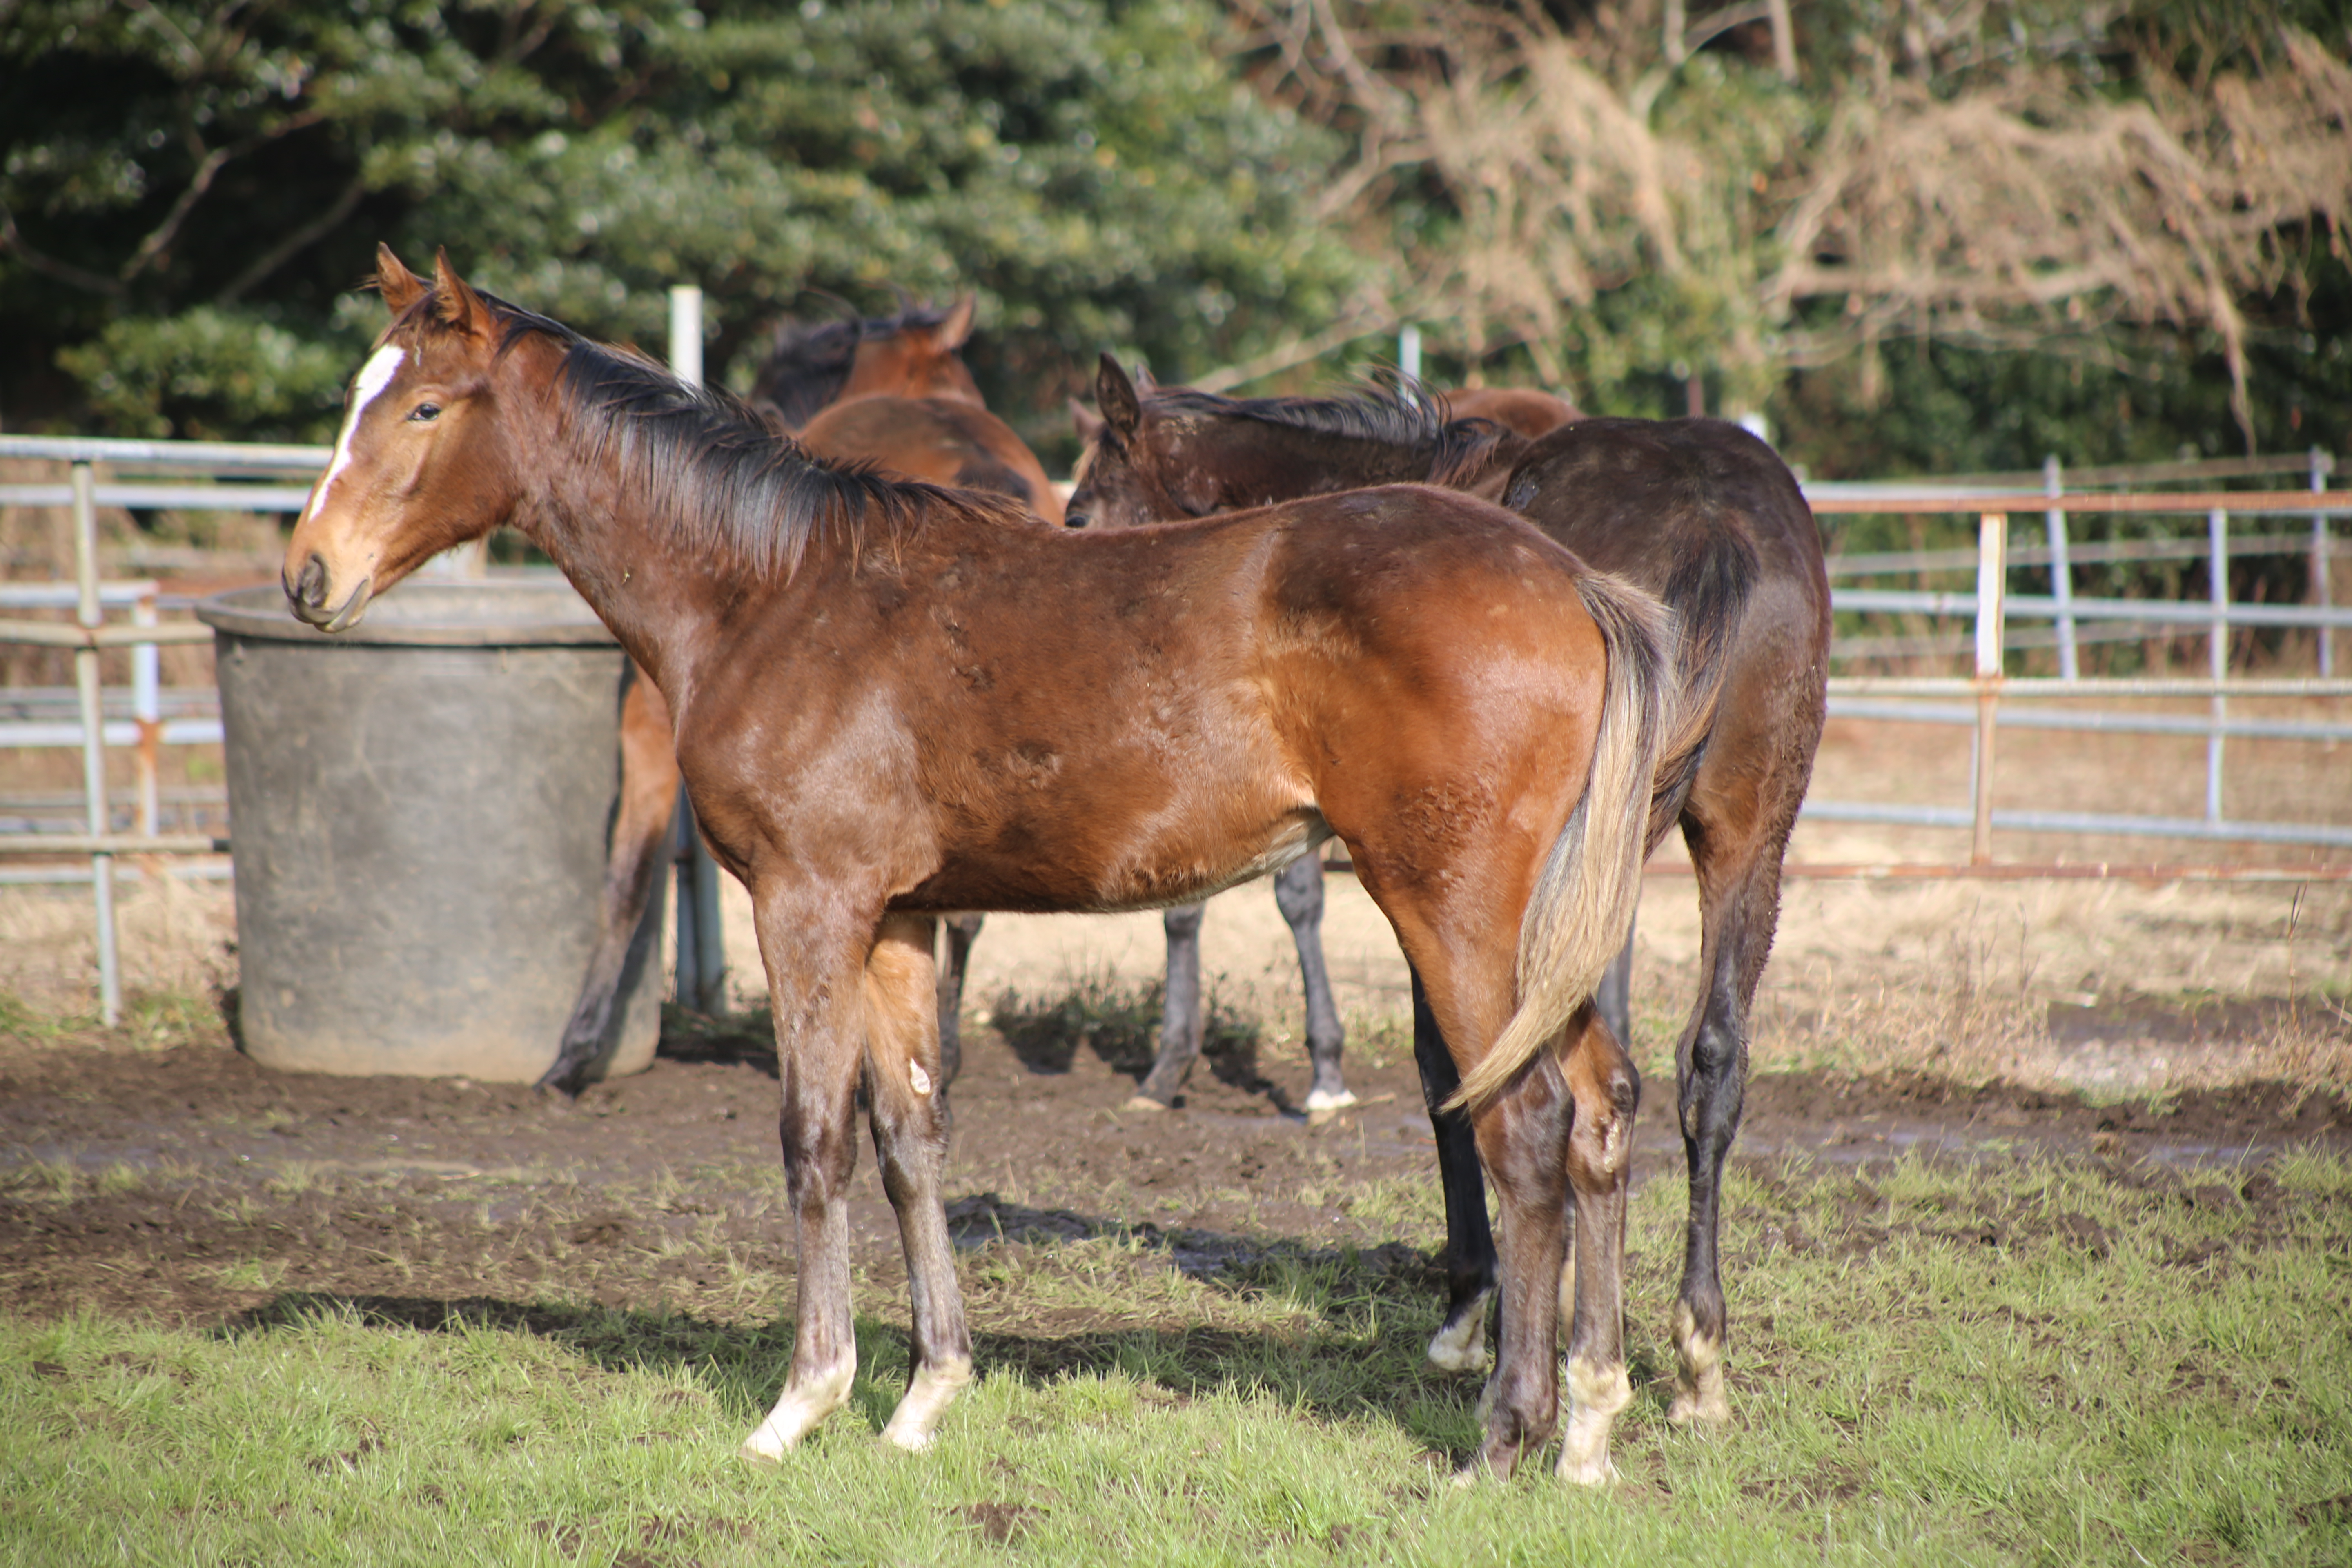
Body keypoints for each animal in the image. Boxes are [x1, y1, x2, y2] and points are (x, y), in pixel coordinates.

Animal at [1072, 359, 1834, 1439]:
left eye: (1084, 508)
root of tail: (1710, 522)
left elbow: (1452, 1068)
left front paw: (1474, 1310)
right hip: (1746, 839)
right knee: (1709, 1064)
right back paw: (1695, 1355)